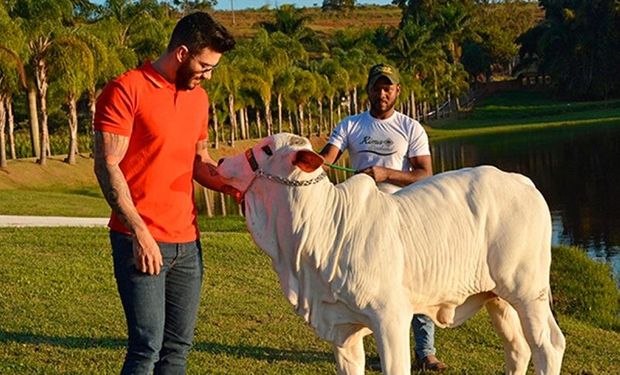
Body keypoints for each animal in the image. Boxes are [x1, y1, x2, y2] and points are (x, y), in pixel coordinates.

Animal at [216, 134, 564, 374]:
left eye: (267, 149)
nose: (219, 163)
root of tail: (522, 181)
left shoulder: (391, 316)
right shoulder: (342, 329)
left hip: (528, 290)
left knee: (548, 344)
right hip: (497, 296)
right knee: (518, 348)